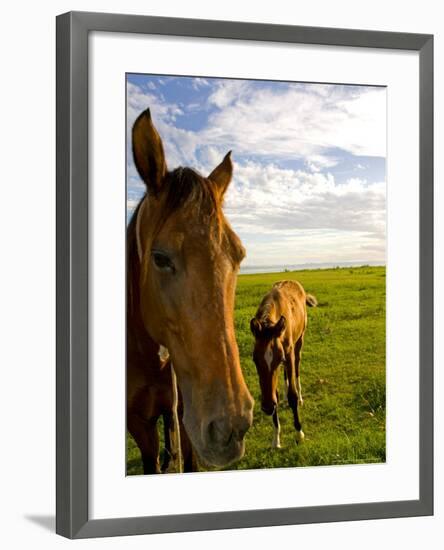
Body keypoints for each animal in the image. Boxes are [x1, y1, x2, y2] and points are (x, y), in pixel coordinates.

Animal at [250, 282, 316, 450]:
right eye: (255, 360)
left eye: (278, 359)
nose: (267, 407)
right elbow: (276, 394)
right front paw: (276, 439)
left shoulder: (288, 355)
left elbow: (292, 395)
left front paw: (299, 433)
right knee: (287, 375)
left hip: (299, 342)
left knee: (296, 368)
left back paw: (300, 397)